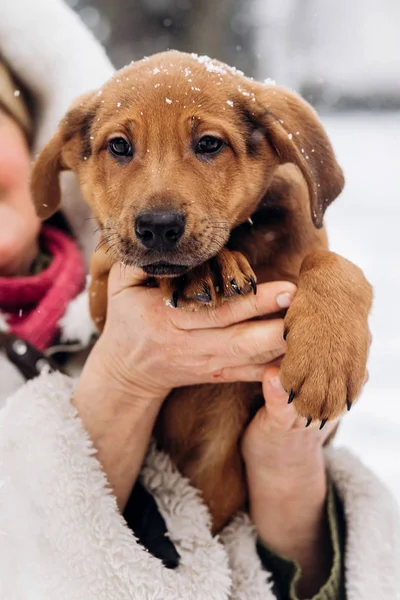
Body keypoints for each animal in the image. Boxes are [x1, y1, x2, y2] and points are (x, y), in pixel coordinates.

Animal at [30, 50, 372, 528]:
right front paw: (204, 268)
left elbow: (336, 263)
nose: (158, 226)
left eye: (209, 144)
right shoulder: (101, 284)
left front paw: (327, 361)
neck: (244, 238)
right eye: (118, 146)